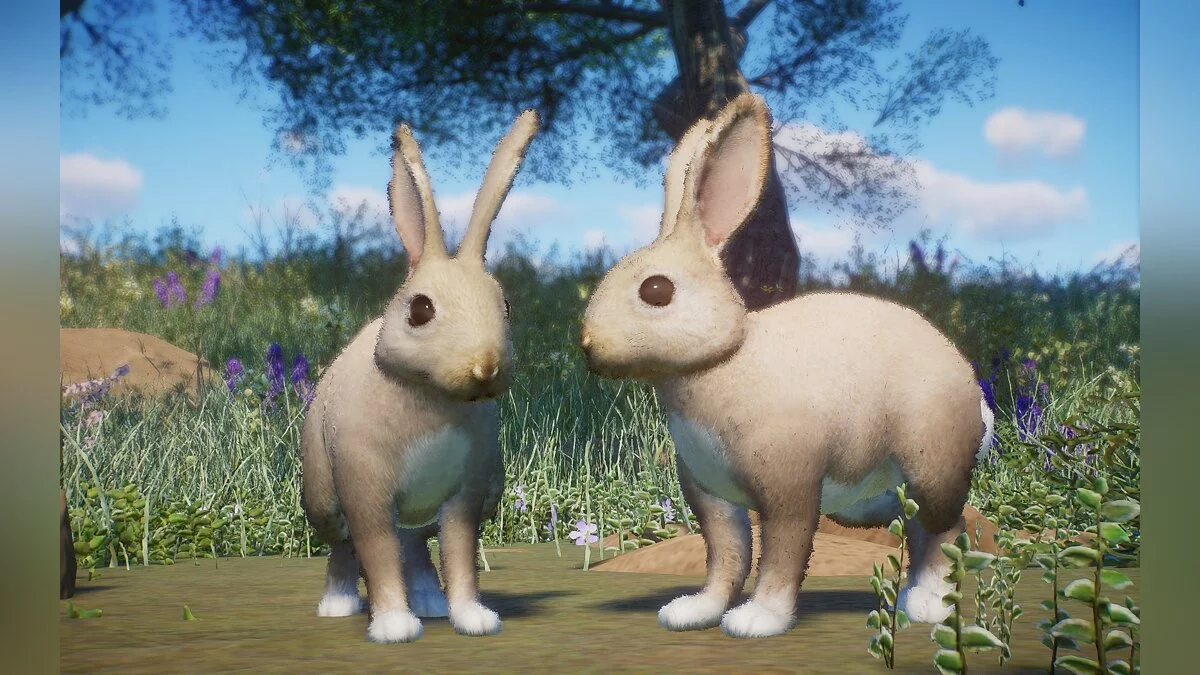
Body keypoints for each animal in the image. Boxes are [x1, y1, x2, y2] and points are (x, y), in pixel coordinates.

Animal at [299, 109, 539, 644]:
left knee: (417, 549)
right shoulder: (366, 490)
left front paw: (474, 618)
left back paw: (431, 603)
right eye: (421, 309)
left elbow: (459, 555)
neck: (432, 399)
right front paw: (393, 626)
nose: (486, 366)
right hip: (326, 499)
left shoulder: (465, 496)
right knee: (346, 548)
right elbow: (378, 554)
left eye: (506, 305)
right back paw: (337, 605)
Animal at [578, 93, 996, 639]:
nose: (587, 345)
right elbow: (727, 556)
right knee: (921, 528)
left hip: (931, 467)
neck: (723, 362)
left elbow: (782, 554)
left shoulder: (789, 487)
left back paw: (928, 606)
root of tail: (976, 397)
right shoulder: (712, 496)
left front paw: (758, 620)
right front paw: (696, 611)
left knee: (947, 527)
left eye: (656, 290)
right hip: (880, 494)